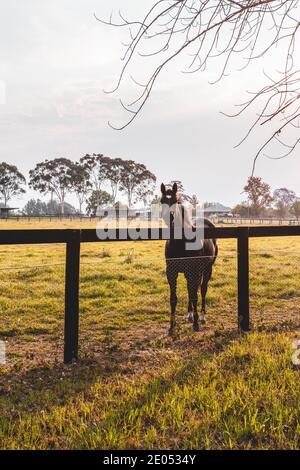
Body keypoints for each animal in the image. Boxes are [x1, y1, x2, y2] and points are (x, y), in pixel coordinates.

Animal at [162, 183, 218, 334]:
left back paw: (202, 317)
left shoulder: (194, 271)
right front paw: (171, 326)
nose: (170, 218)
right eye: (162, 201)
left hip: (207, 269)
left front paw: (196, 324)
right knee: (191, 289)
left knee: (202, 289)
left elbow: (195, 295)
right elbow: (173, 298)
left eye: (175, 201)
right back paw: (190, 315)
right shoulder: (171, 272)